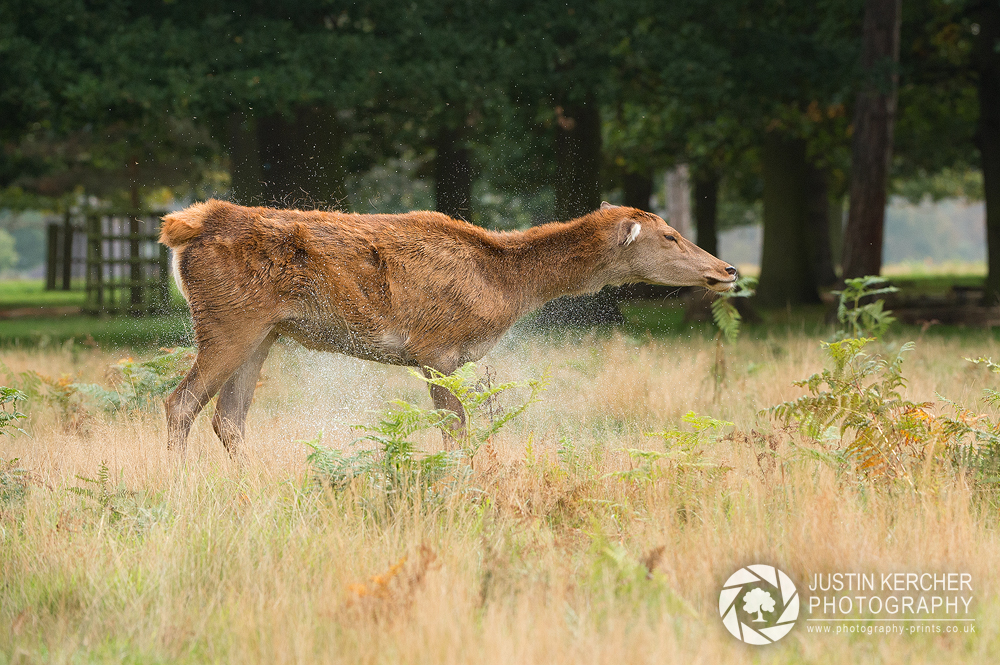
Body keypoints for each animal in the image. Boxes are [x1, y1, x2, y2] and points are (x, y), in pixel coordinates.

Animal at [156, 200, 736, 454]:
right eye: (670, 235)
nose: (728, 269)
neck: (507, 286)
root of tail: (182, 226)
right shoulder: (438, 348)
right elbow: (455, 431)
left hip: (264, 333)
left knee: (228, 419)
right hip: (229, 321)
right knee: (179, 402)